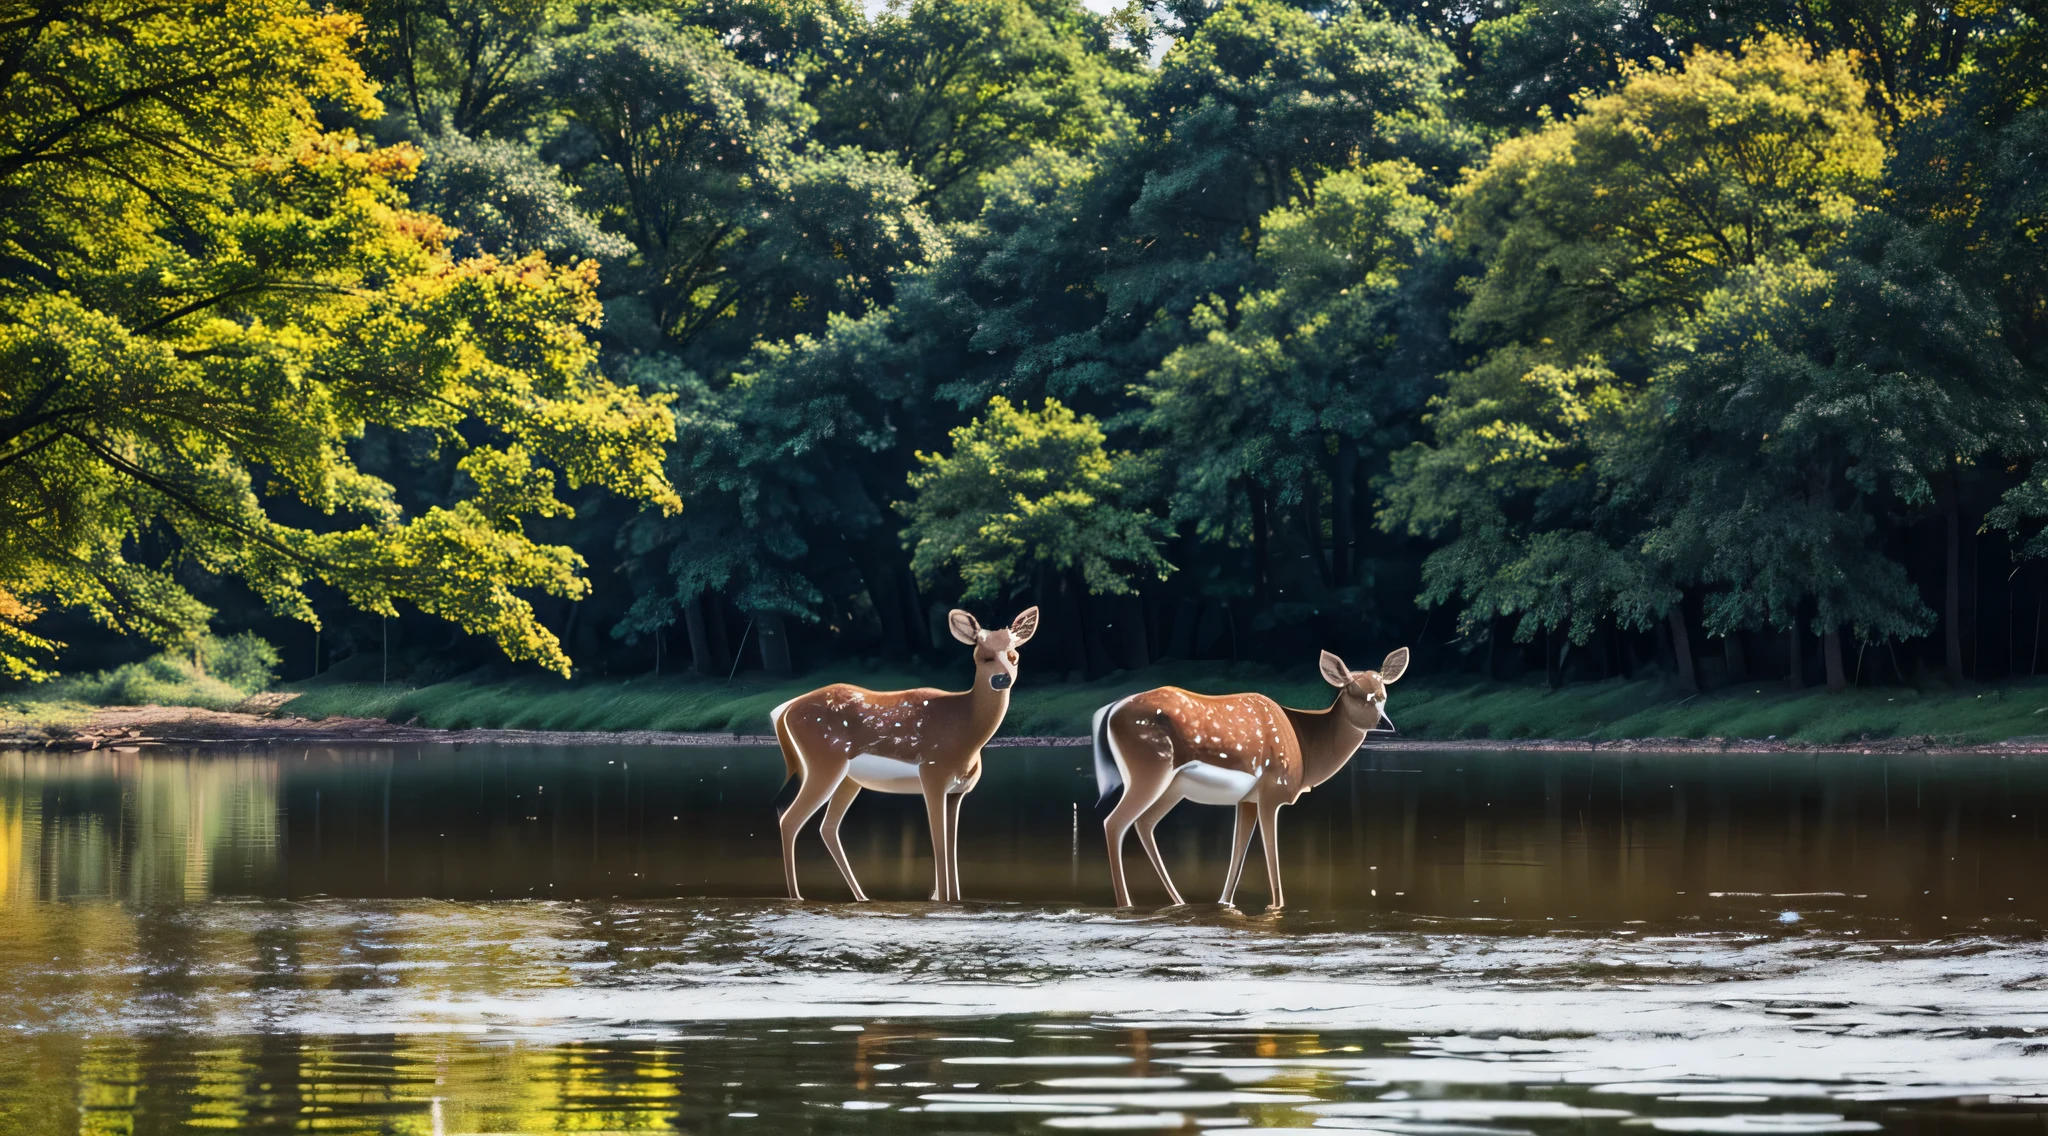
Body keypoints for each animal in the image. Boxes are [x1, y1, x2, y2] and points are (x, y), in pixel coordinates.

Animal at [765, 609, 1032, 900]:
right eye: (982, 655)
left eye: (1014, 655)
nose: (1001, 678)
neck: (966, 734)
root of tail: (784, 710)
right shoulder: (932, 775)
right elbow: (939, 845)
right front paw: (941, 900)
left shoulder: (957, 792)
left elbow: (951, 848)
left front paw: (952, 900)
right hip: (824, 763)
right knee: (790, 819)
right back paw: (798, 896)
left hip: (848, 779)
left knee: (827, 826)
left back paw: (862, 896)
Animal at [1089, 654, 1409, 912]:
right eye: (1353, 691)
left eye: (1383, 693)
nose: (1386, 724)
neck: (1305, 748)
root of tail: (1110, 709)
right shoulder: (1272, 789)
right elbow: (1270, 855)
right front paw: (1276, 907)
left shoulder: (1247, 799)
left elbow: (1238, 851)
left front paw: (1224, 904)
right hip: (1149, 769)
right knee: (1114, 822)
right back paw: (1126, 905)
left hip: (1173, 787)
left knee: (1144, 823)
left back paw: (1178, 902)